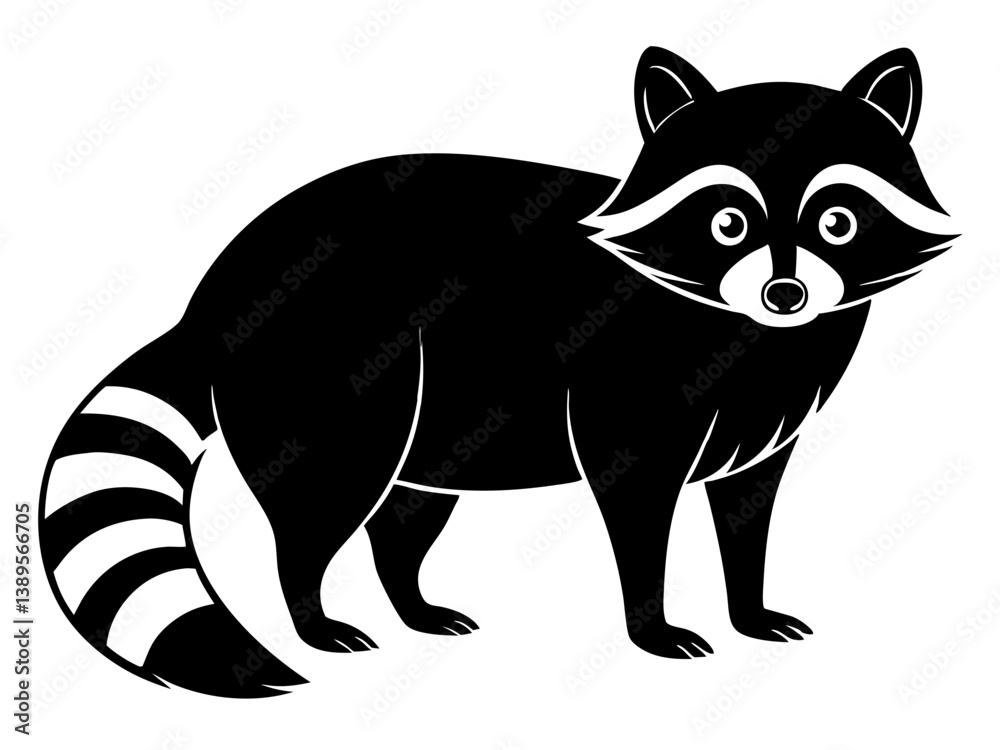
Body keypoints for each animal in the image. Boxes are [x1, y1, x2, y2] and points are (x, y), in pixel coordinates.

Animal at [39, 47, 956, 697]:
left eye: (837, 220)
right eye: (728, 221)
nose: (785, 293)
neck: (751, 336)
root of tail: (216, 286)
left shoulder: (766, 415)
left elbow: (747, 512)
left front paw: (749, 606)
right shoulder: (629, 392)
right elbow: (637, 513)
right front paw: (652, 622)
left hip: (434, 423)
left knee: (401, 518)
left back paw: (409, 603)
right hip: (332, 369)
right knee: (317, 512)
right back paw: (311, 613)